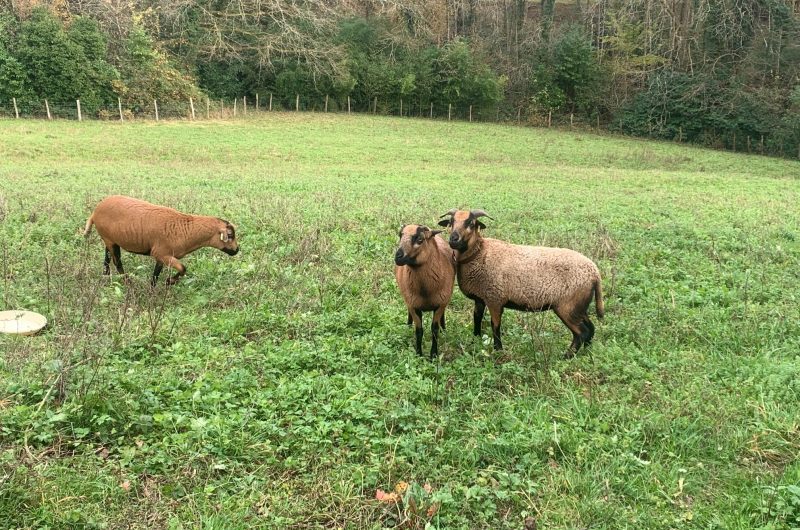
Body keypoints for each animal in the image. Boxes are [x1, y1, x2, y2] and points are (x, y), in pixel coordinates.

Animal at [83, 195, 239, 286]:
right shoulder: (161, 253)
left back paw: (105, 278)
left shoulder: (161, 255)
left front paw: (152, 290)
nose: (237, 250)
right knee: (117, 261)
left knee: (107, 259)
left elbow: (156, 274)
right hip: (109, 239)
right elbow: (183, 268)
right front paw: (169, 282)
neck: (187, 230)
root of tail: (95, 212)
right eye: (230, 235)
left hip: (109, 239)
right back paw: (127, 282)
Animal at [394, 224, 456, 360]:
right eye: (400, 235)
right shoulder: (413, 306)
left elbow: (434, 330)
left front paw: (433, 355)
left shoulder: (440, 305)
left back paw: (444, 329)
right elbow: (419, 330)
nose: (398, 257)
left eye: (420, 239)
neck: (425, 291)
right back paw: (408, 325)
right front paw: (419, 354)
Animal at [438, 209, 604, 357]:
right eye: (451, 222)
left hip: (568, 306)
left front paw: (498, 350)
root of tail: (594, 272)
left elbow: (495, 325)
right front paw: (475, 341)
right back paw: (586, 353)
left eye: (471, 223)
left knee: (581, 333)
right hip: (579, 306)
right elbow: (477, 319)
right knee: (591, 328)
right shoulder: (480, 297)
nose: (453, 239)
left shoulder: (495, 298)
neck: (480, 253)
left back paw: (566, 357)